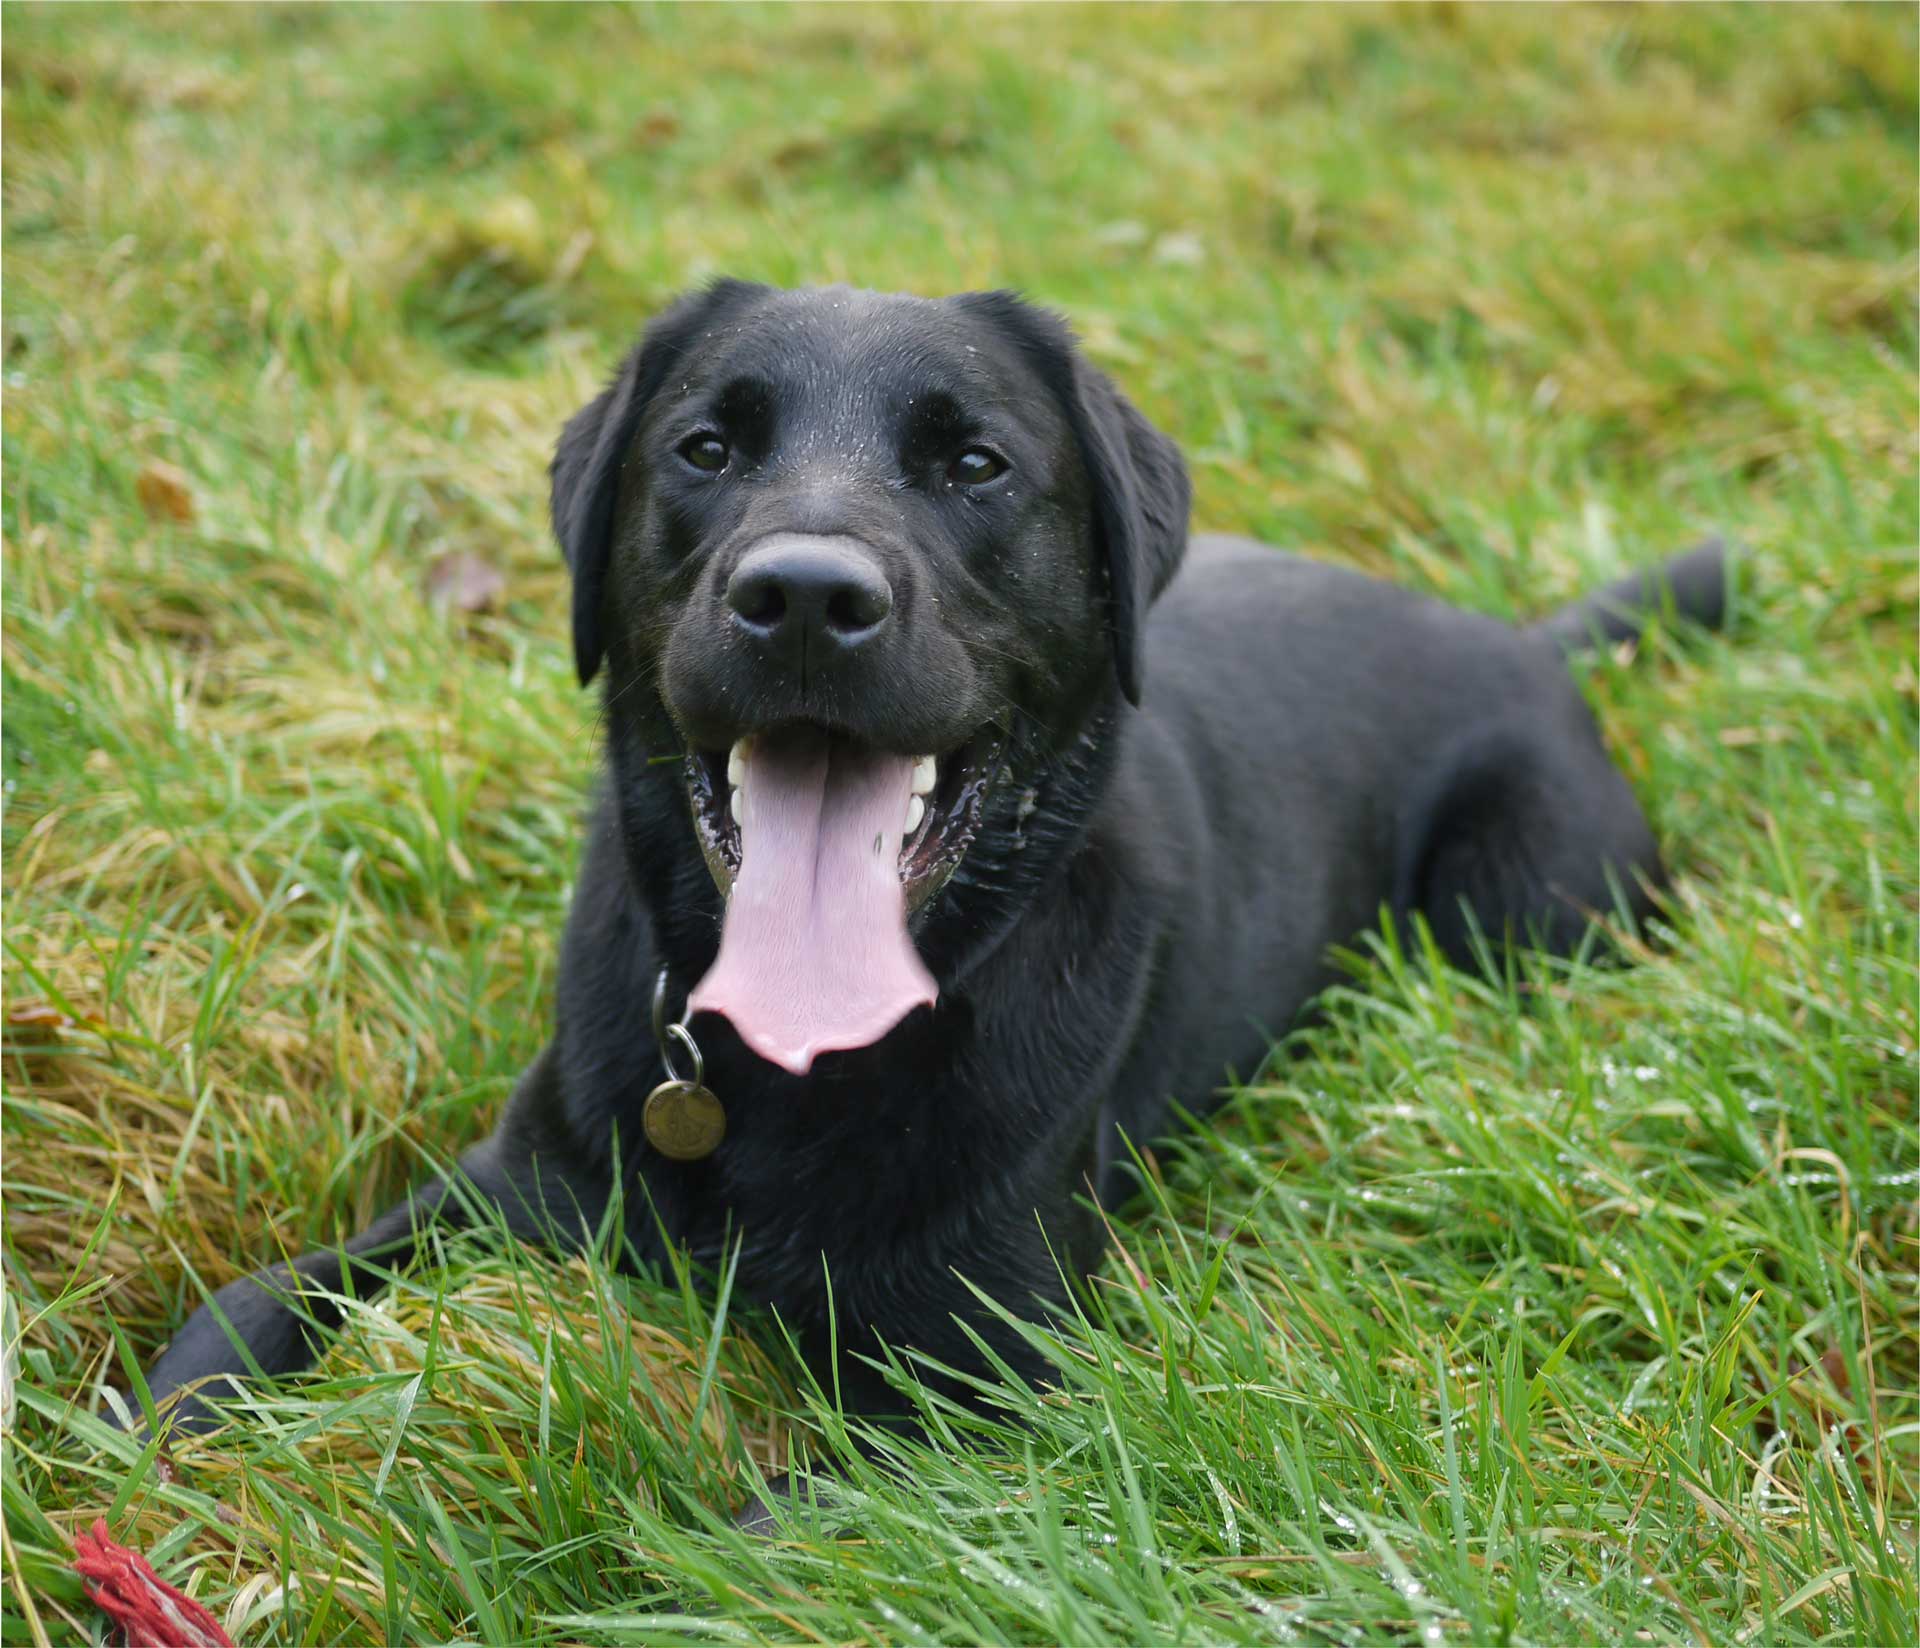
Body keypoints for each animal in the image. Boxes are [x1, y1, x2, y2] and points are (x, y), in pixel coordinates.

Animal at [135, 278, 1728, 1490]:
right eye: (705, 448)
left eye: (976, 466)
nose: (803, 599)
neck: (796, 1055)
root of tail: (1521, 635)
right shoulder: (519, 1179)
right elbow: (262, 1294)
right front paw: (143, 1443)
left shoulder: (988, 1379)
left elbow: (734, 1543)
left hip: (1532, 910)